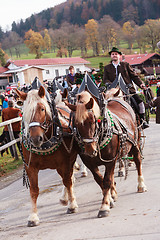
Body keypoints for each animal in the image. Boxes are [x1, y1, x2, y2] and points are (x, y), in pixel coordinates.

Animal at [15, 86, 78, 227]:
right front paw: (33, 216)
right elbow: (34, 190)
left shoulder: (64, 163)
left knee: (68, 179)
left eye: (42, 109)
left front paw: (72, 205)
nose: (35, 139)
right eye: (24, 112)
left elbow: (67, 181)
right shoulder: (31, 167)